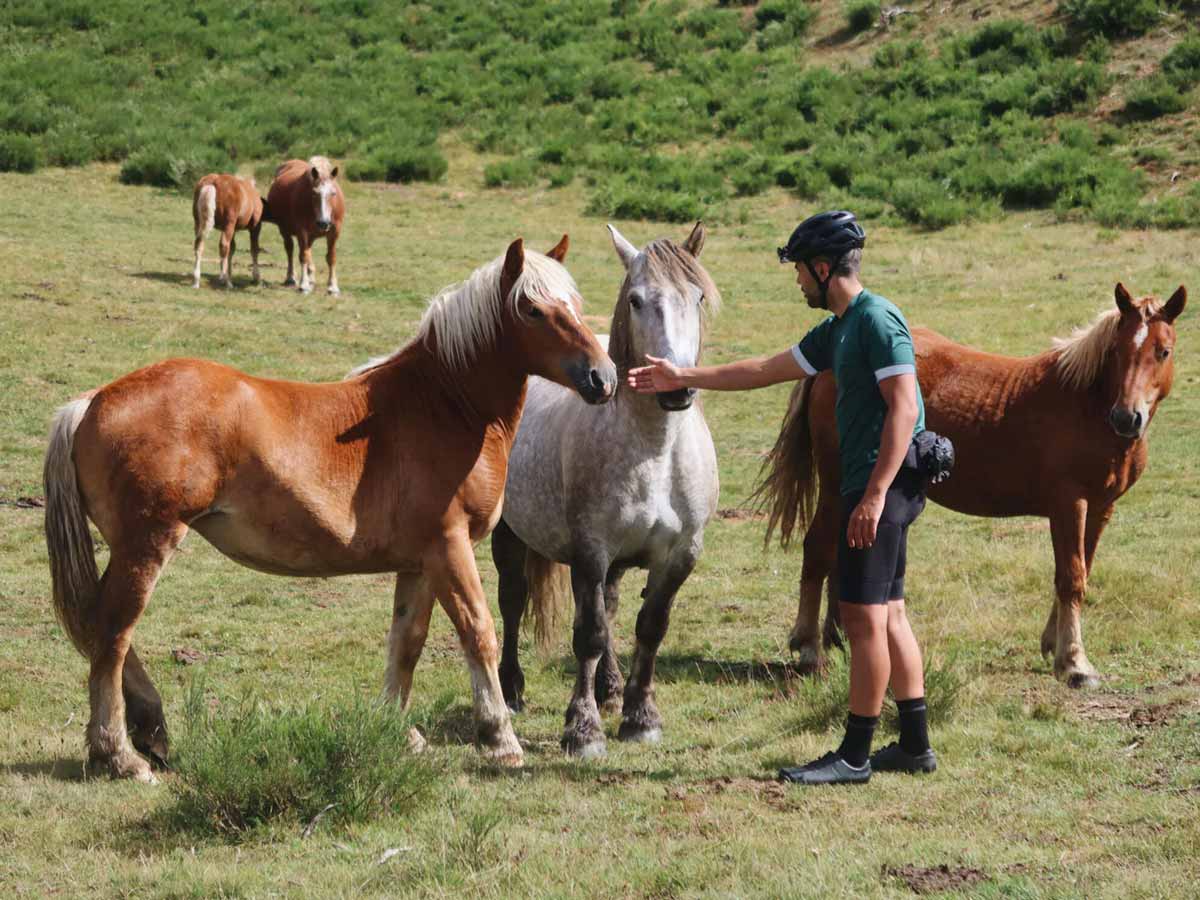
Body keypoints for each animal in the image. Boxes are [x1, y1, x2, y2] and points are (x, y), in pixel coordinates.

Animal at [42, 237, 614, 782]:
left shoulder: (419, 563)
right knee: (113, 636)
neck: (444, 406)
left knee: (102, 629)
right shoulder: (450, 548)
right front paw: (500, 740)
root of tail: (92, 401)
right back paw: (120, 755)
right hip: (148, 544)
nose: (603, 377)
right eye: (533, 310)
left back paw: (151, 732)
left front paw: (395, 732)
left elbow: (407, 642)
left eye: (576, 304)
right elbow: (479, 633)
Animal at [489, 222, 715, 758]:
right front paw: (583, 728)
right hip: (510, 535)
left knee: (610, 608)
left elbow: (649, 628)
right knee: (513, 599)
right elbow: (588, 635)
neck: (655, 452)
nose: (675, 386)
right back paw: (512, 690)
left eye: (696, 297)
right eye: (636, 300)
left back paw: (610, 690)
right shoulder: (590, 553)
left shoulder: (680, 555)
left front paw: (640, 716)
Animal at [753, 285, 1185, 686]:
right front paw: (1075, 663)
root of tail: (830, 365)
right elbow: (1071, 578)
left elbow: (1080, 572)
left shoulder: (1099, 509)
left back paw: (842, 637)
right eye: (1117, 351)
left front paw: (1056, 645)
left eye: (1163, 351)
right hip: (835, 486)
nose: (1127, 417)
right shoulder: (1069, 505)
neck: (1087, 405)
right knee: (817, 551)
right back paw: (809, 647)